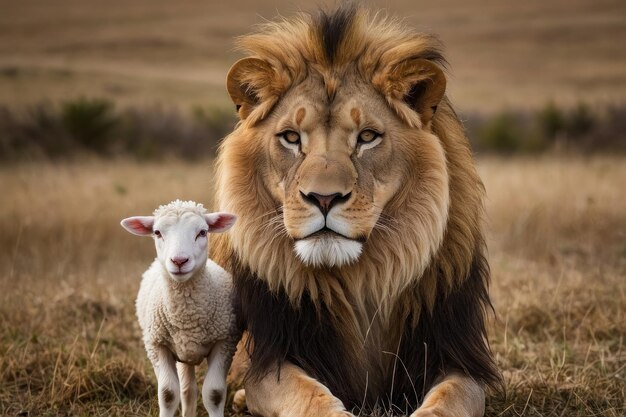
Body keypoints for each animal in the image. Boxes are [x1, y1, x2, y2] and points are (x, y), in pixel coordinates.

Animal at [120, 200, 238, 414]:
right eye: (157, 232)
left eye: (202, 232)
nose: (179, 261)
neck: (186, 317)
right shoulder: (157, 346)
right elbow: (168, 394)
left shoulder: (225, 343)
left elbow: (214, 394)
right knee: (187, 390)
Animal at [212, 4, 500, 416]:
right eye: (291, 137)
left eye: (367, 137)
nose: (324, 198)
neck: (361, 280)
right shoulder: (270, 361)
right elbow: (308, 395)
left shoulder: (457, 356)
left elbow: (449, 399)